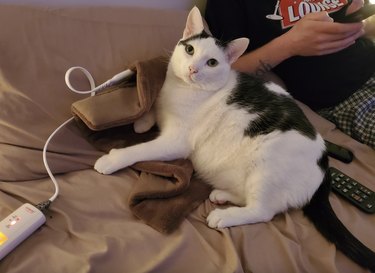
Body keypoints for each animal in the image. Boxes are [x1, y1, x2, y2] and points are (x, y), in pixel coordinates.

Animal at [94, 6, 375, 270]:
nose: (193, 69)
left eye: (212, 63)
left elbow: (140, 150)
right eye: (189, 50)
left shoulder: (175, 141)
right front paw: (142, 121)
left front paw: (112, 159)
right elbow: (152, 110)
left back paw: (224, 216)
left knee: (263, 211)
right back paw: (223, 195)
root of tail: (325, 166)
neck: (182, 90)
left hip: (266, 166)